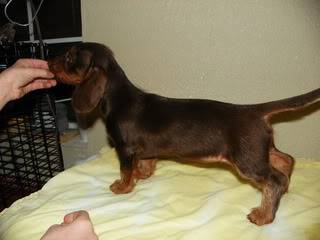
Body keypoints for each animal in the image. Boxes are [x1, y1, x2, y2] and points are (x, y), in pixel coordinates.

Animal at [48, 42, 318, 226]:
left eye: (70, 56)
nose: (49, 63)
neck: (118, 97)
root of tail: (253, 110)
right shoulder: (143, 150)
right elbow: (146, 163)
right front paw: (142, 175)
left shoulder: (124, 149)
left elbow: (125, 171)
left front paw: (122, 187)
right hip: (259, 150)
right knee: (285, 160)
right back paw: (283, 191)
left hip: (247, 160)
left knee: (274, 179)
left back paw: (263, 215)